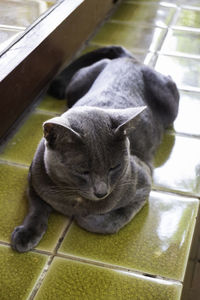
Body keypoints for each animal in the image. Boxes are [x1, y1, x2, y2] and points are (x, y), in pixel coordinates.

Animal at [10, 46, 180, 253]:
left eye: (115, 167)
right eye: (82, 171)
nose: (101, 192)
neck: (74, 198)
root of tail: (130, 60)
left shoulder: (143, 182)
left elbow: (107, 221)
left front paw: (84, 216)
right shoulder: (33, 179)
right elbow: (37, 207)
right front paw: (26, 234)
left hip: (170, 105)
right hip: (74, 86)